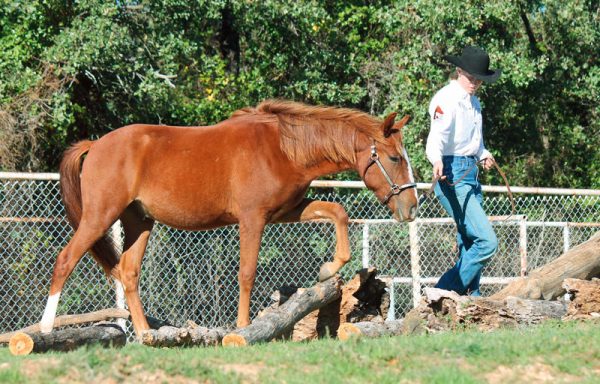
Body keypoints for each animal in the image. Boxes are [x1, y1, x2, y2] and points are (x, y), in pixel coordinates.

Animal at [41, 100, 418, 340]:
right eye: (395, 158)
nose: (412, 207)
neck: (282, 148)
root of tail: (96, 144)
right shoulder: (253, 219)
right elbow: (247, 273)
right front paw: (242, 326)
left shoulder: (286, 211)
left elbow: (337, 211)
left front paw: (328, 268)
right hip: (99, 217)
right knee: (64, 260)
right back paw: (45, 329)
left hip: (139, 223)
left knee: (129, 274)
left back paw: (146, 333)